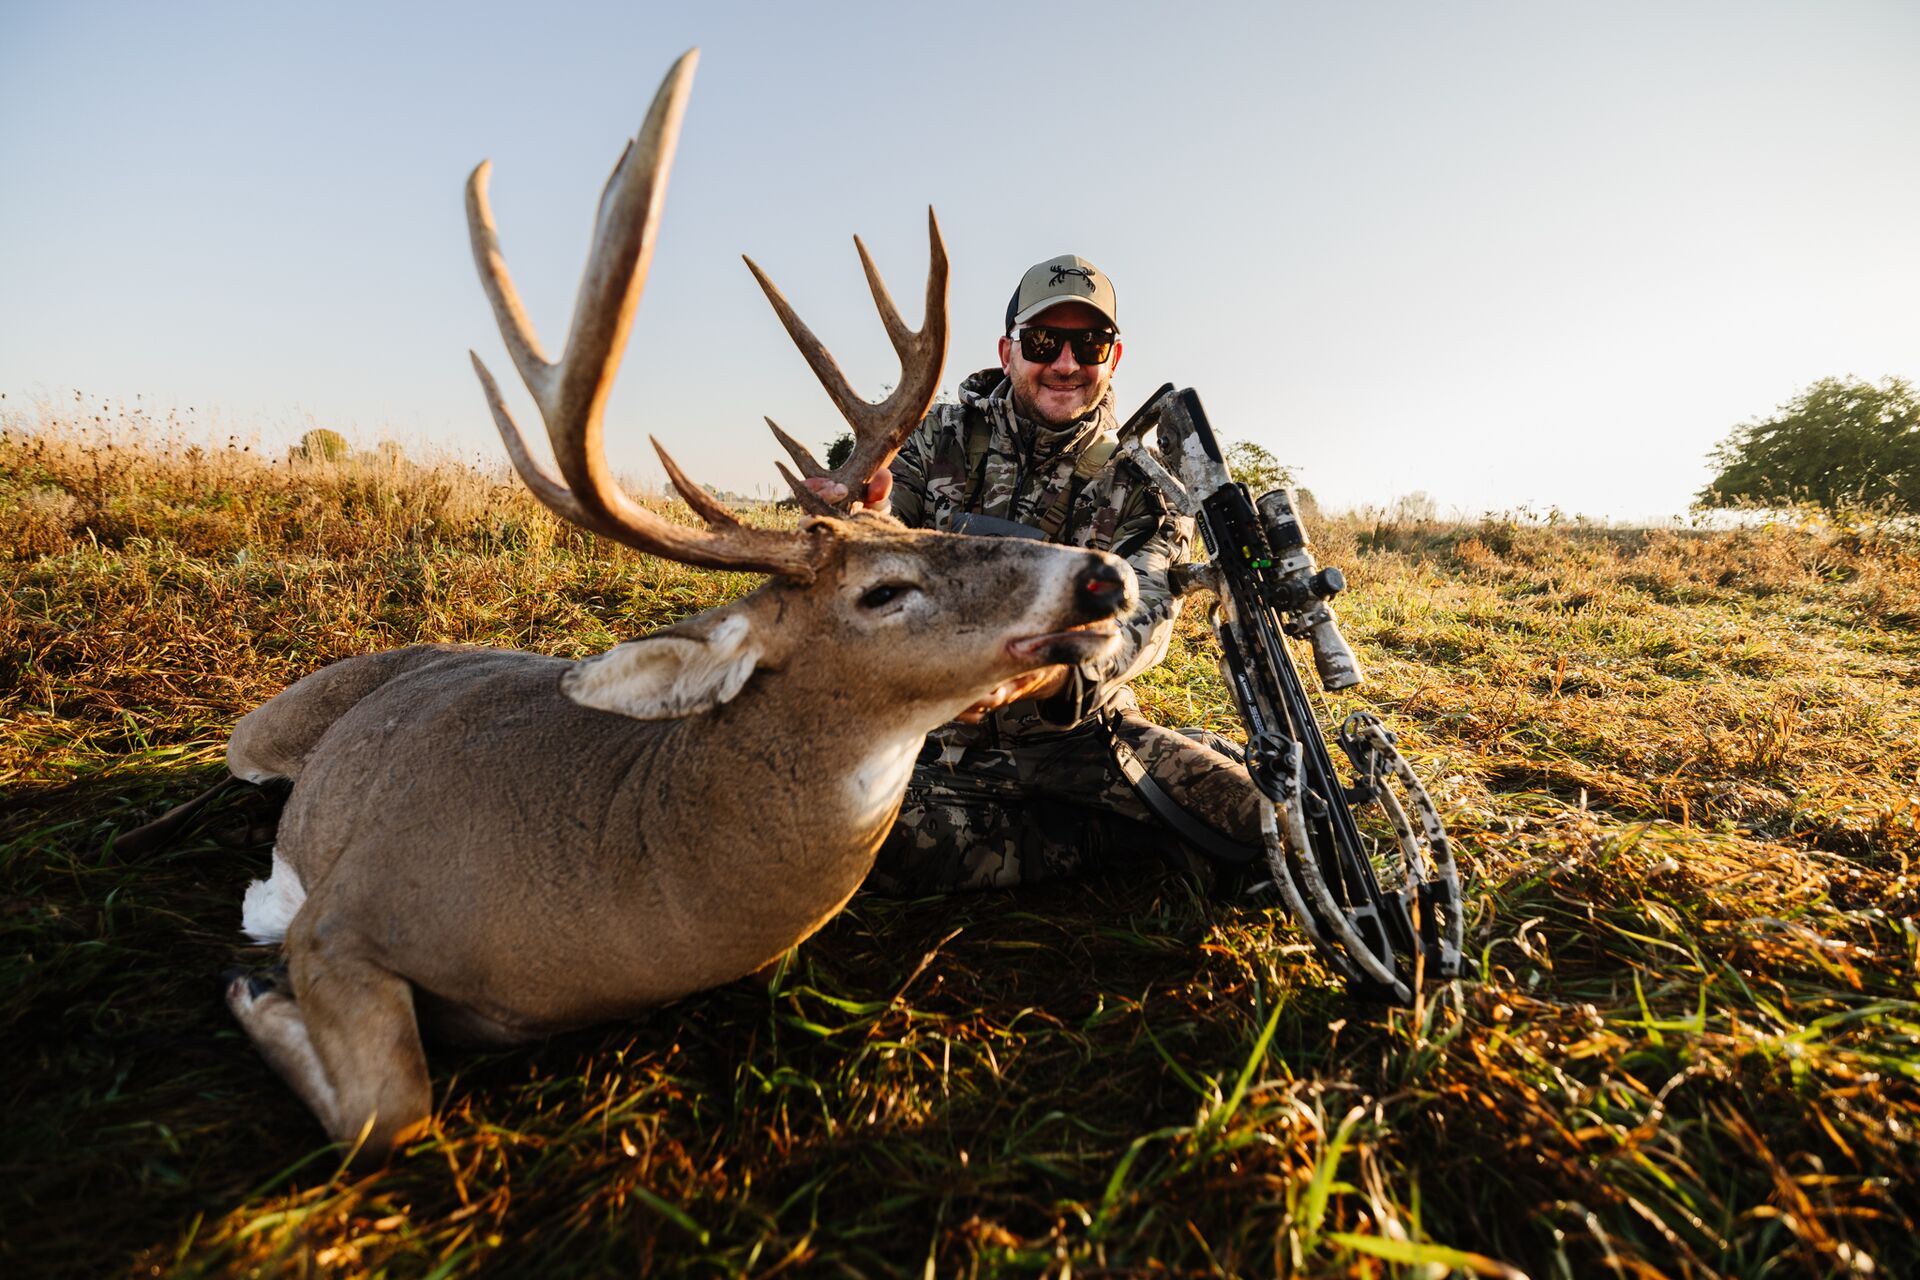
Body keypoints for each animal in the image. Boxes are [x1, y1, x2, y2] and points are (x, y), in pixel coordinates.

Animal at [213, 49, 1135, 1165]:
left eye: (915, 530)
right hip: (258, 732)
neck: (626, 875)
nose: (1103, 577)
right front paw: (253, 978)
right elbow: (388, 1109)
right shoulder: (347, 913)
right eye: (883, 589)